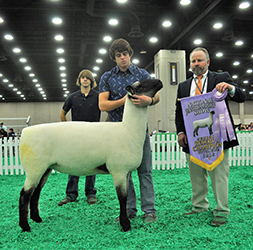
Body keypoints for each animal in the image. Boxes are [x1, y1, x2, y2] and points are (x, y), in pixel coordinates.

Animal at [18, 78, 163, 232]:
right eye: (140, 86)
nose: (159, 81)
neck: (128, 129)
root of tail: (25, 133)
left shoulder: (126, 172)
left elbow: (126, 196)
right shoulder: (118, 170)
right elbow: (122, 198)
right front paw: (125, 225)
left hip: (45, 168)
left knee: (36, 193)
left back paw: (37, 219)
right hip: (34, 168)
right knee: (24, 195)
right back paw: (25, 226)